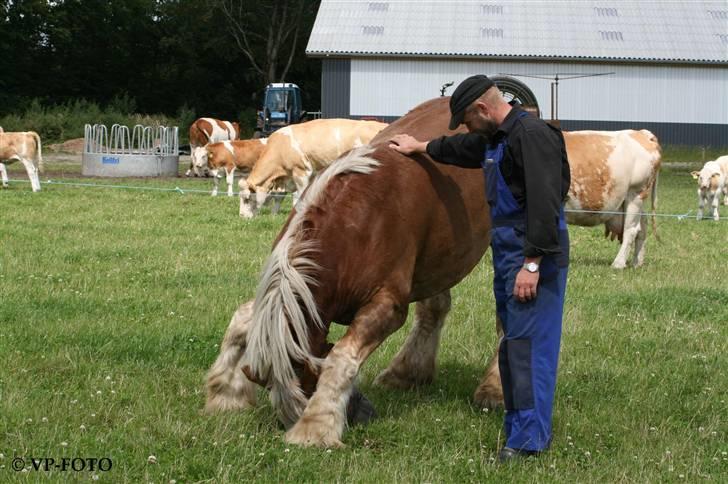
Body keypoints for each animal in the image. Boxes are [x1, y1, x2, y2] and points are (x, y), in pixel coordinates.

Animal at [237, 117, 386, 217]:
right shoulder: (288, 177)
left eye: (246, 199)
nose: (242, 217)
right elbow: (279, 197)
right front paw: (274, 215)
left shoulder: (301, 172)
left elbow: (299, 195)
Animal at [560, 130, 664, 268]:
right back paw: (637, 263)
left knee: (631, 230)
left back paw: (618, 264)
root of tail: (641, 133)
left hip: (635, 194)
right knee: (642, 227)